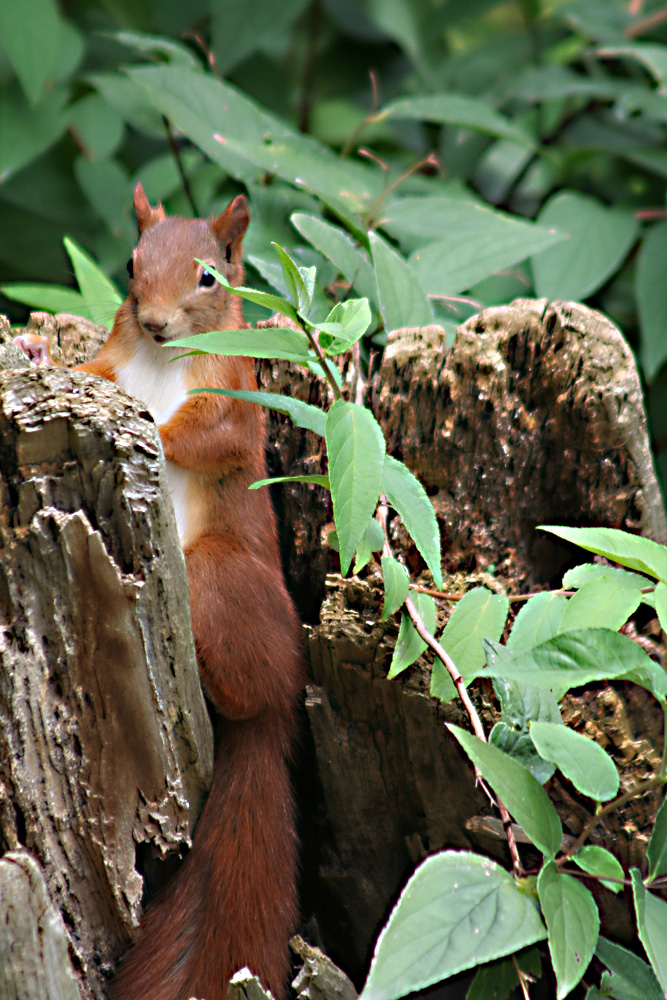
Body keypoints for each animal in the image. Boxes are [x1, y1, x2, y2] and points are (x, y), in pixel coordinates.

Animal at [17, 184, 306, 1000]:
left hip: (213, 576)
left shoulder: (234, 394)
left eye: (210, 275)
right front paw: (37, 352)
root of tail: (279, 709)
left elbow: (211, 436)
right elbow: (93, 371)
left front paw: (157, 424)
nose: (154, 319)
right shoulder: (114, 356)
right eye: (130, 264)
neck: (157, 357)